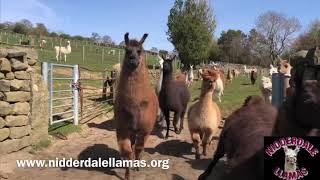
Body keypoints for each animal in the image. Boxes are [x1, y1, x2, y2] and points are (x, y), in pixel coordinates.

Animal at [115, 32, 160, 180]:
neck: (134, 106)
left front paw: (137, 167)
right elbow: (127, 151)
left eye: (139, 50)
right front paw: (127, 175)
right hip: (131, 130)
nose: (133, 60)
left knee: (139, 147)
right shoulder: (122, 128)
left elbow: (139, 148)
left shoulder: (145, 129)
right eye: (127, 50)